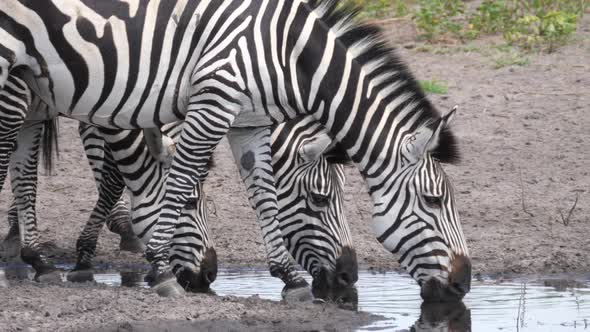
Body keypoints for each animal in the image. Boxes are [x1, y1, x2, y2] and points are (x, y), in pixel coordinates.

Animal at [0, 0, 472, 300]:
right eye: (434, 201)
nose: (464, 285)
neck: (287, 56)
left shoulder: (248, 123)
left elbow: (264, 196)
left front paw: (289, 278)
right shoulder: (210, 102)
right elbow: (175, 180)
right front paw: (158, 268)